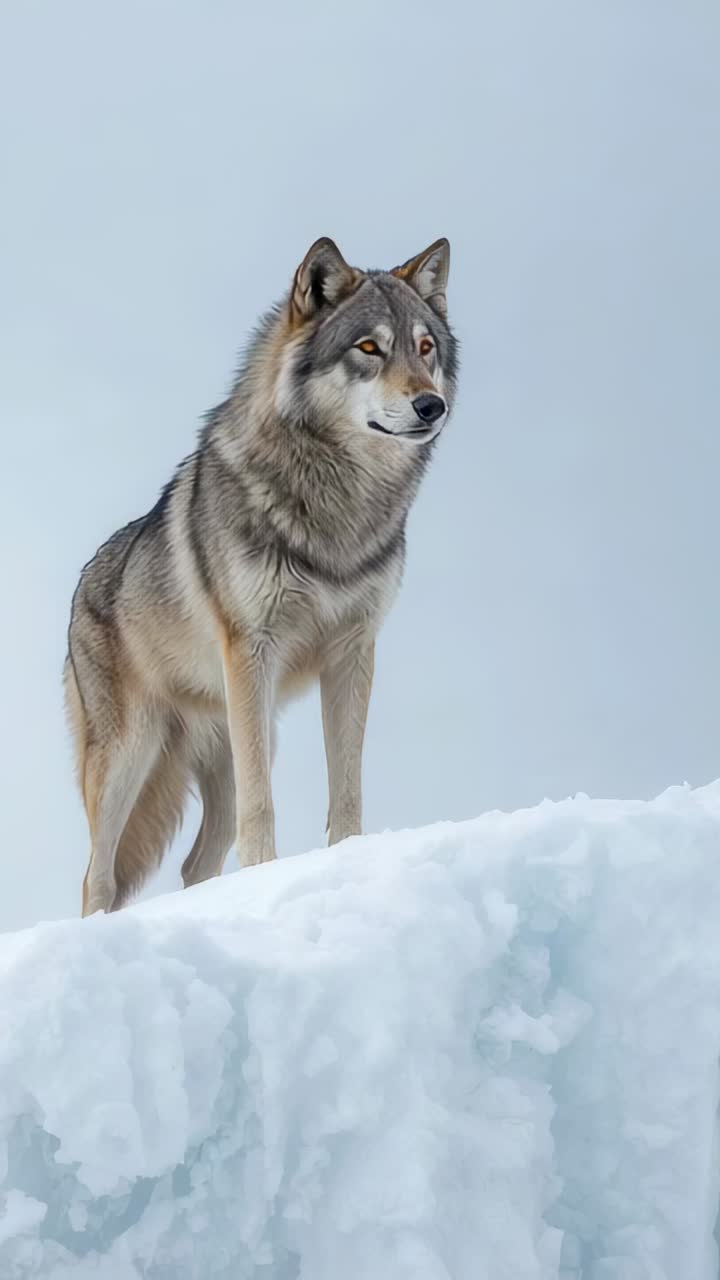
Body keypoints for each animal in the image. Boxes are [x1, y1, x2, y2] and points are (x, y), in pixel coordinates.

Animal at [65, 237, 458, 915]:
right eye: (368, 348)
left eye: (425, 347)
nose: (431, 405)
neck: (338, 512)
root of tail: (82, 584)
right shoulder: (253, 648)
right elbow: (263, 807)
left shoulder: (353, 652)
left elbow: (346, 789)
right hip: (130, 757)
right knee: (99, 876)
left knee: (195, 863)